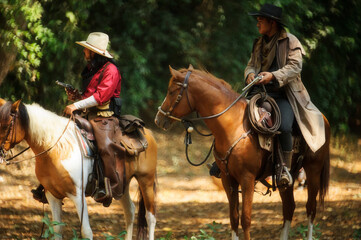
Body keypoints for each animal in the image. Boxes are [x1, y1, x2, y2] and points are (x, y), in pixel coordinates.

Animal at [0, 98, 158, 239]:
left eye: (6, 125)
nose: (0, 153)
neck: (58, 149)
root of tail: (148, 133)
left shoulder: (78, 195)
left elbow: (86, 231)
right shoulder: (52, 195)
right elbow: (57, 229)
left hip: (146, 180)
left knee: (150, 216)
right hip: (121, 185)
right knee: (130, 211)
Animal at [153, 66, 328, 240]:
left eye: (171, 91)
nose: (158, 119)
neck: (233, 126)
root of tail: (323, 118)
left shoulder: (247, 179)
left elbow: (246, 219)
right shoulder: (227, 179)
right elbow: (234, 218)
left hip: (313, 170)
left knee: (311, 208)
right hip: (286, 180)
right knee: (289, 208)